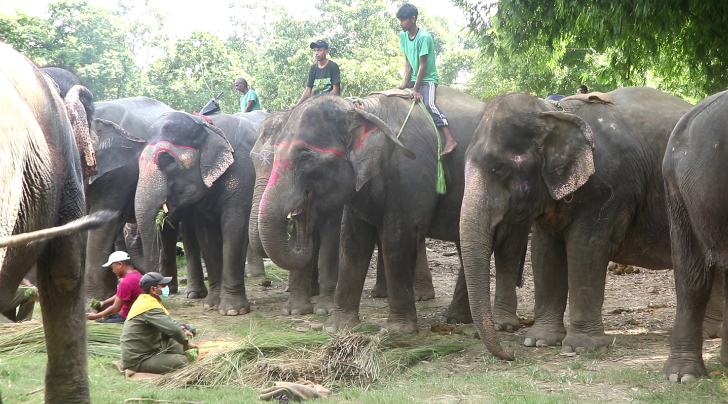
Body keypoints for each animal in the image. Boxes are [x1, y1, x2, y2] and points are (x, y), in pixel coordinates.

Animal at [135, 110, 266, 316]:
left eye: (166, 160)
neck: (209, 126)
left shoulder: (244, 174)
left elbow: (234, 227)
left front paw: (232, 311)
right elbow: (206, 235)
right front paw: (211, 305)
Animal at [256, 87, 490, 332]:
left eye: (305, 156)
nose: (298, 216)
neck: (362, 110)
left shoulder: (411, 170)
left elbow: (397, 238)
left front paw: (398, 330)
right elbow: (353, 241)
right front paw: (337, 327)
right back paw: (456, 318)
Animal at [460, 88, 700, 360]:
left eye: (498, 168)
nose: (510, 354)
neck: (553, 112)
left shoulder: (608, 187)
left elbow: (586, 249)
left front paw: (581, 347)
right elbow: (544, 252)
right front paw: (539, 341)